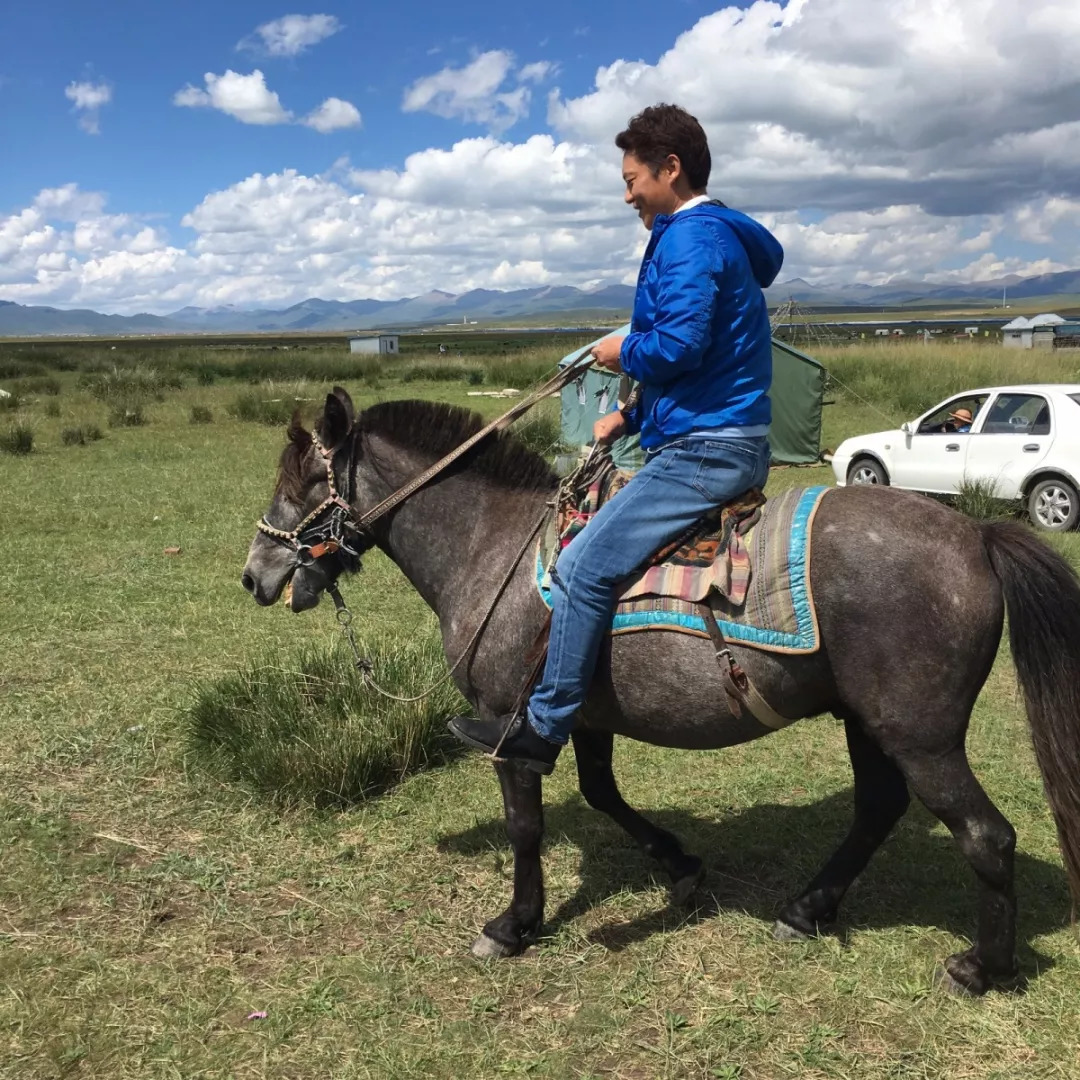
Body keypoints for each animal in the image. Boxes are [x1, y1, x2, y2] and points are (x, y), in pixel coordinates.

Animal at [240, 388, 1080, 993]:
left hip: (920, 734)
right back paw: (805, 911)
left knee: (986, 835)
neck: (492, 546)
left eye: (304, 482)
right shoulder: (576, 715)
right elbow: (604, 794)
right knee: (878, 809)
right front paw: (679, 867)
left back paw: (981, 969)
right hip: (866, 721)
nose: (255, 575)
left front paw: (514, 925)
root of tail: (974, 535)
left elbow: (525, 828)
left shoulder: (508, 724)